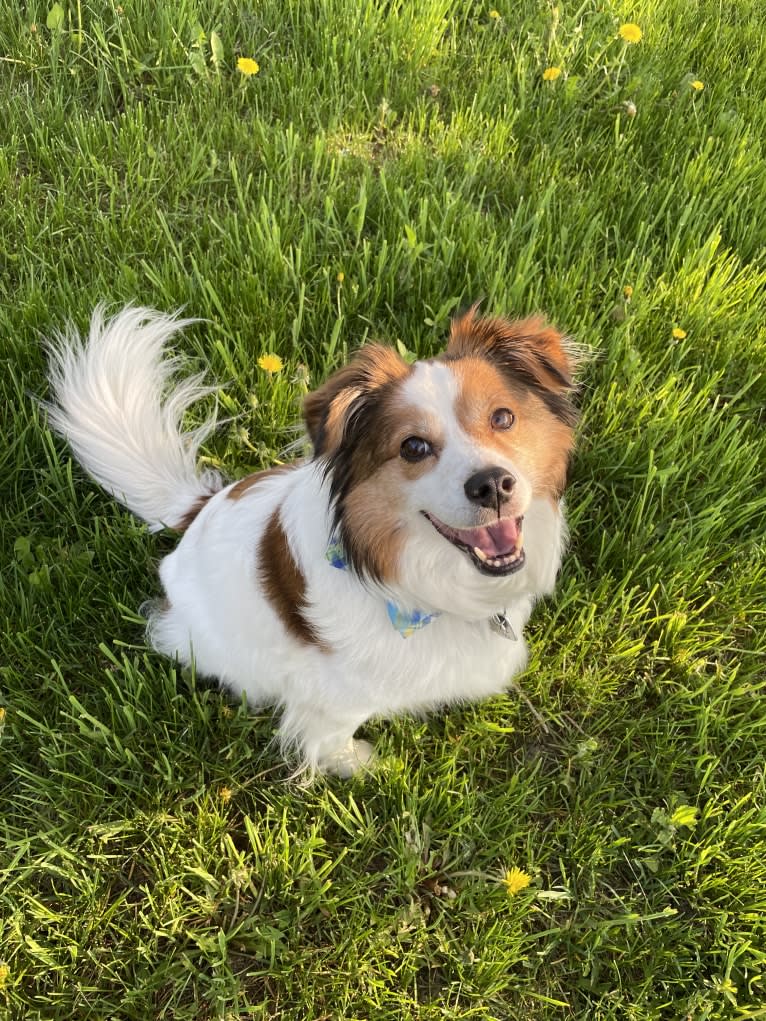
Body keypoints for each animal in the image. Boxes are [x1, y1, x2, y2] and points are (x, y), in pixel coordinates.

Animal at [44, 306, 580, 775]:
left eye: (503, 418)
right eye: (413, 447)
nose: (492, 485)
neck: (412, 582)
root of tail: (197, 508)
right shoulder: (336, 690)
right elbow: (330, 732)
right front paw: (353, 763)